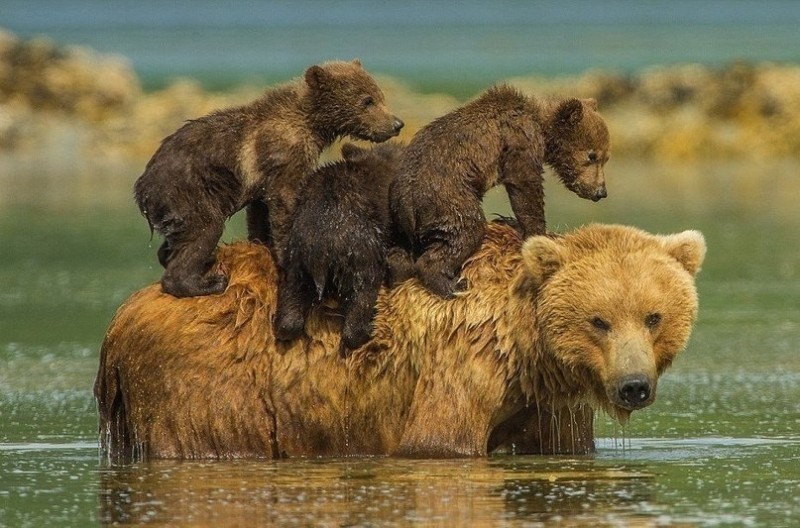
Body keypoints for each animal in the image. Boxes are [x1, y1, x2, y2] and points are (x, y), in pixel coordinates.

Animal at [95, 221, 708, 460]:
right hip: (208, 380)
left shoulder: (547, 404)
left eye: (653, 316)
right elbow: (439, 441)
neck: (524, 346)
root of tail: (121, 318)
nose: (633, 386)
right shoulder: (459, 367)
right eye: (598, 320)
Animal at [135, 58, 406, 296]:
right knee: (204, 229)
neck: (312, 124)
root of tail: (142, 188)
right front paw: (287, 255)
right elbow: (284, 200)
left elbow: (259, 211)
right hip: (188, 191)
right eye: (367, 101)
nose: (397, 123)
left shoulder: (262, 179)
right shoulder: (285, 154)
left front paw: (262, 243)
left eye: (379, 95)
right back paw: (205, 282)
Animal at [390, 83, 608, 296]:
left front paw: (512, 222)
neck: (542, 127)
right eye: (592, 156)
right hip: (446, 195)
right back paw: (452, 284)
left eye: (605, 157)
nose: (601, 192)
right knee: (466, 228)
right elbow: (525, 185)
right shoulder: (519, 141)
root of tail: (405, 203)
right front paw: (541, 233)